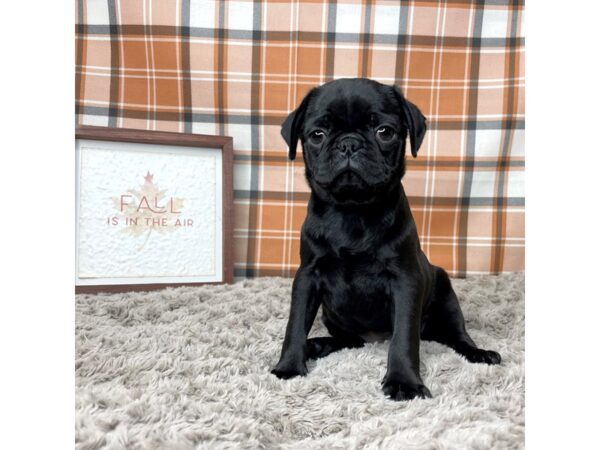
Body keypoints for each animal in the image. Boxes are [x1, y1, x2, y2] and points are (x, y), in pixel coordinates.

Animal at [272, 77, 502, 400]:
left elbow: (404, 338)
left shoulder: (405, 281)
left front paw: (404, 381)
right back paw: (316, 345)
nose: (349, 143)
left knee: (457, 336)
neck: (353, 210)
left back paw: (479, 353)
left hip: (446, 297)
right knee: (351, 341)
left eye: (384, 132)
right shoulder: (307, 276)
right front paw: (289, 366)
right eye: (317, 135)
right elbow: (294, 325)